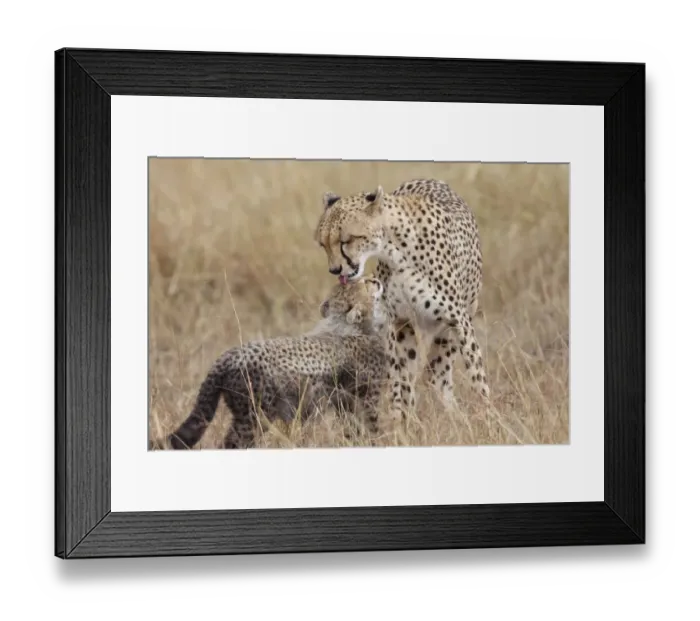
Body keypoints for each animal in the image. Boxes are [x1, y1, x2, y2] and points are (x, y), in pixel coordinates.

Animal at [166, 277, 389, 450]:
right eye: (367, 283)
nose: (375, 279)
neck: (346, 324)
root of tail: (227, 356)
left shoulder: (344, 401)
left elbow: (352, 430)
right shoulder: (366, 399)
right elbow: (372, 429)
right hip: (254, 417)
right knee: (231, 444)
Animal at [314, 178, 490, 428]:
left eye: (346, 240)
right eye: (323, 244)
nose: (335, 270)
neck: (396, 251)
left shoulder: (458, 321)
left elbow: (477, 376)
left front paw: (490, 419)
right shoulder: (398, 321)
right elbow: (401, 378)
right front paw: (402, 422)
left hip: (448, 331)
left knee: (439, 375)